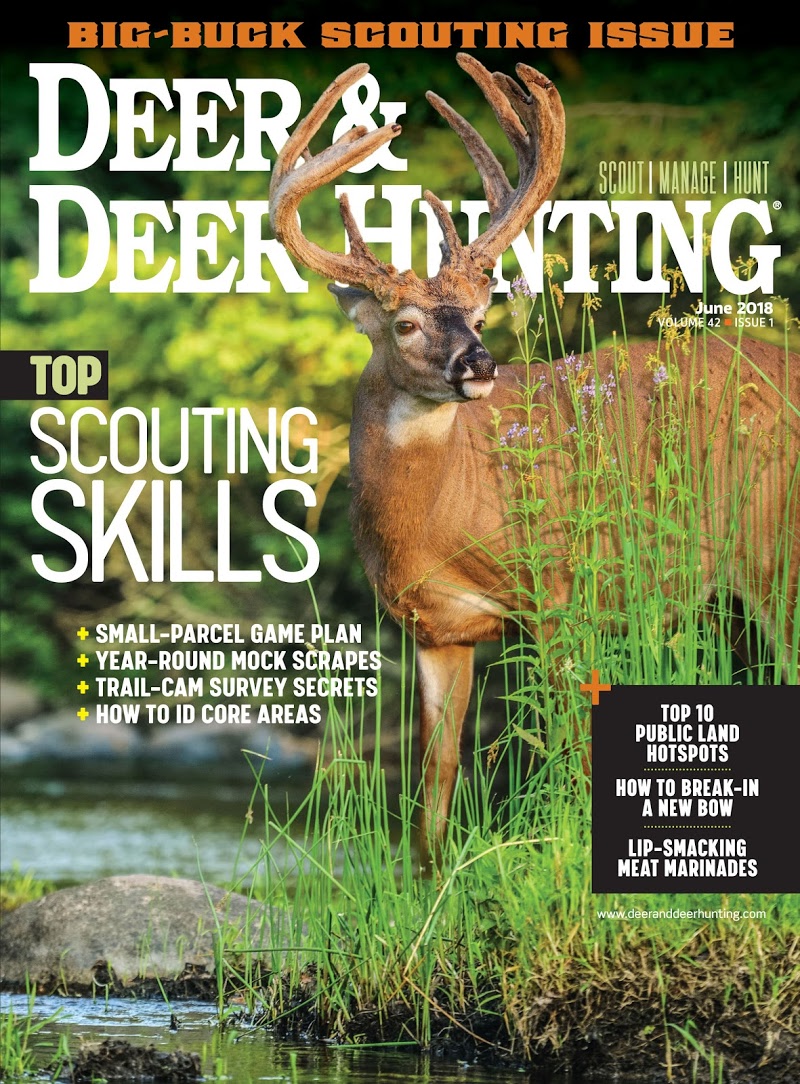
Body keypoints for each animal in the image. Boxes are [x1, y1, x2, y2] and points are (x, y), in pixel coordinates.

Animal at [269, 54, 800, 870]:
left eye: (479, 315)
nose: (479, 365)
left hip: (776, 550)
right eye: (405, 323)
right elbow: (433, 789)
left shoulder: (559, 591)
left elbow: (571, 749)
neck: (438, 519)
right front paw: (431, 885)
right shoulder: (435, 629)